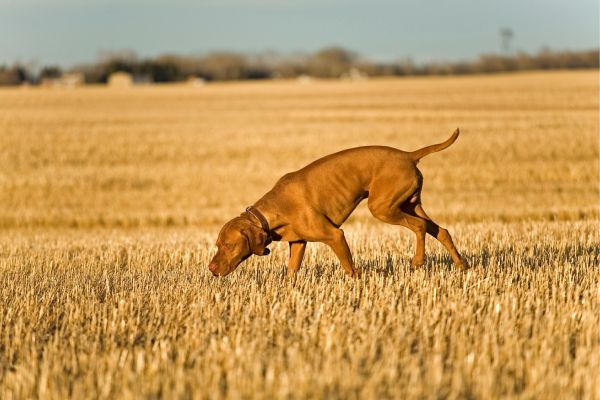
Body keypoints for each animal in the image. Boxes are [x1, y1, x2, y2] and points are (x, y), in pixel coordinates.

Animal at [209, 130, 466, 276]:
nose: (211, 268)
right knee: (441, 231)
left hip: (382, 208)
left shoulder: (335, 236)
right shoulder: (299, 243)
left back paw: (419, 261)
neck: (274, 210)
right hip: (408, 205)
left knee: (419, 227)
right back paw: (462, 266)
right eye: (217, 244)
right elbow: (291, 274)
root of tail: (409, 155)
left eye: (229, 245)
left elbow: (350, 268)